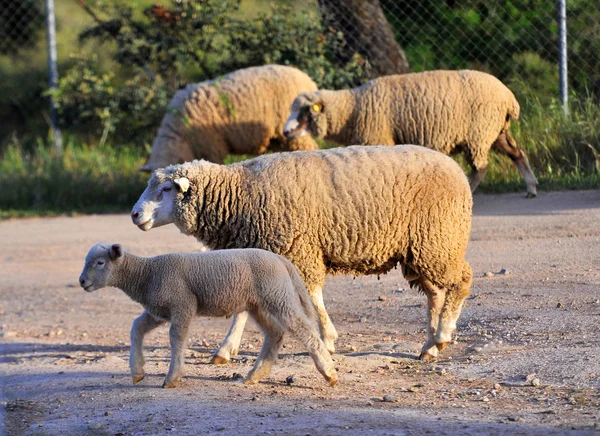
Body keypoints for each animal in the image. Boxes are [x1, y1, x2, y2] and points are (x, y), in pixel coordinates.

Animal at [77, 242, 338, 388]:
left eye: (100, 263)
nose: (81, 281)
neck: (146, 274)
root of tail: (281, 260)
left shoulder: (182, 305)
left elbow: (176, 338)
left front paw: (172, 378)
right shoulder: (159, 309)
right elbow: (136, 328)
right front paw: (137, 372)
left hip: (278, 296)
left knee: (305, 331)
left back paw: (329, 373)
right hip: (259, 304)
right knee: (275, 334)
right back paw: (255, 375)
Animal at [130, 145, 474, 362]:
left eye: (165, 190)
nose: (134, 215)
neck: (241, 193)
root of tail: (456, 169)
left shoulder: (298, 249)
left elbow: (313, 299)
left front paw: (327, 340)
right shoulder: (262, 252)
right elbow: (243, 310)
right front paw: (225, 350)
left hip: (439, 238)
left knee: (461, 281)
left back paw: (442, 334)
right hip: (420, 249)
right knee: (434, 294)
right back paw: (430, 345)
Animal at [282, 69, 540, 198]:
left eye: (305, 111)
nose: (285, 132)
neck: (353, 109)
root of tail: (509, 97)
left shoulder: (379, 138)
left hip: (479, 133)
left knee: (481, 168)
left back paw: (471, 188)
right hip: (496, 132)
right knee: (517, 154)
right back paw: (531, 188)